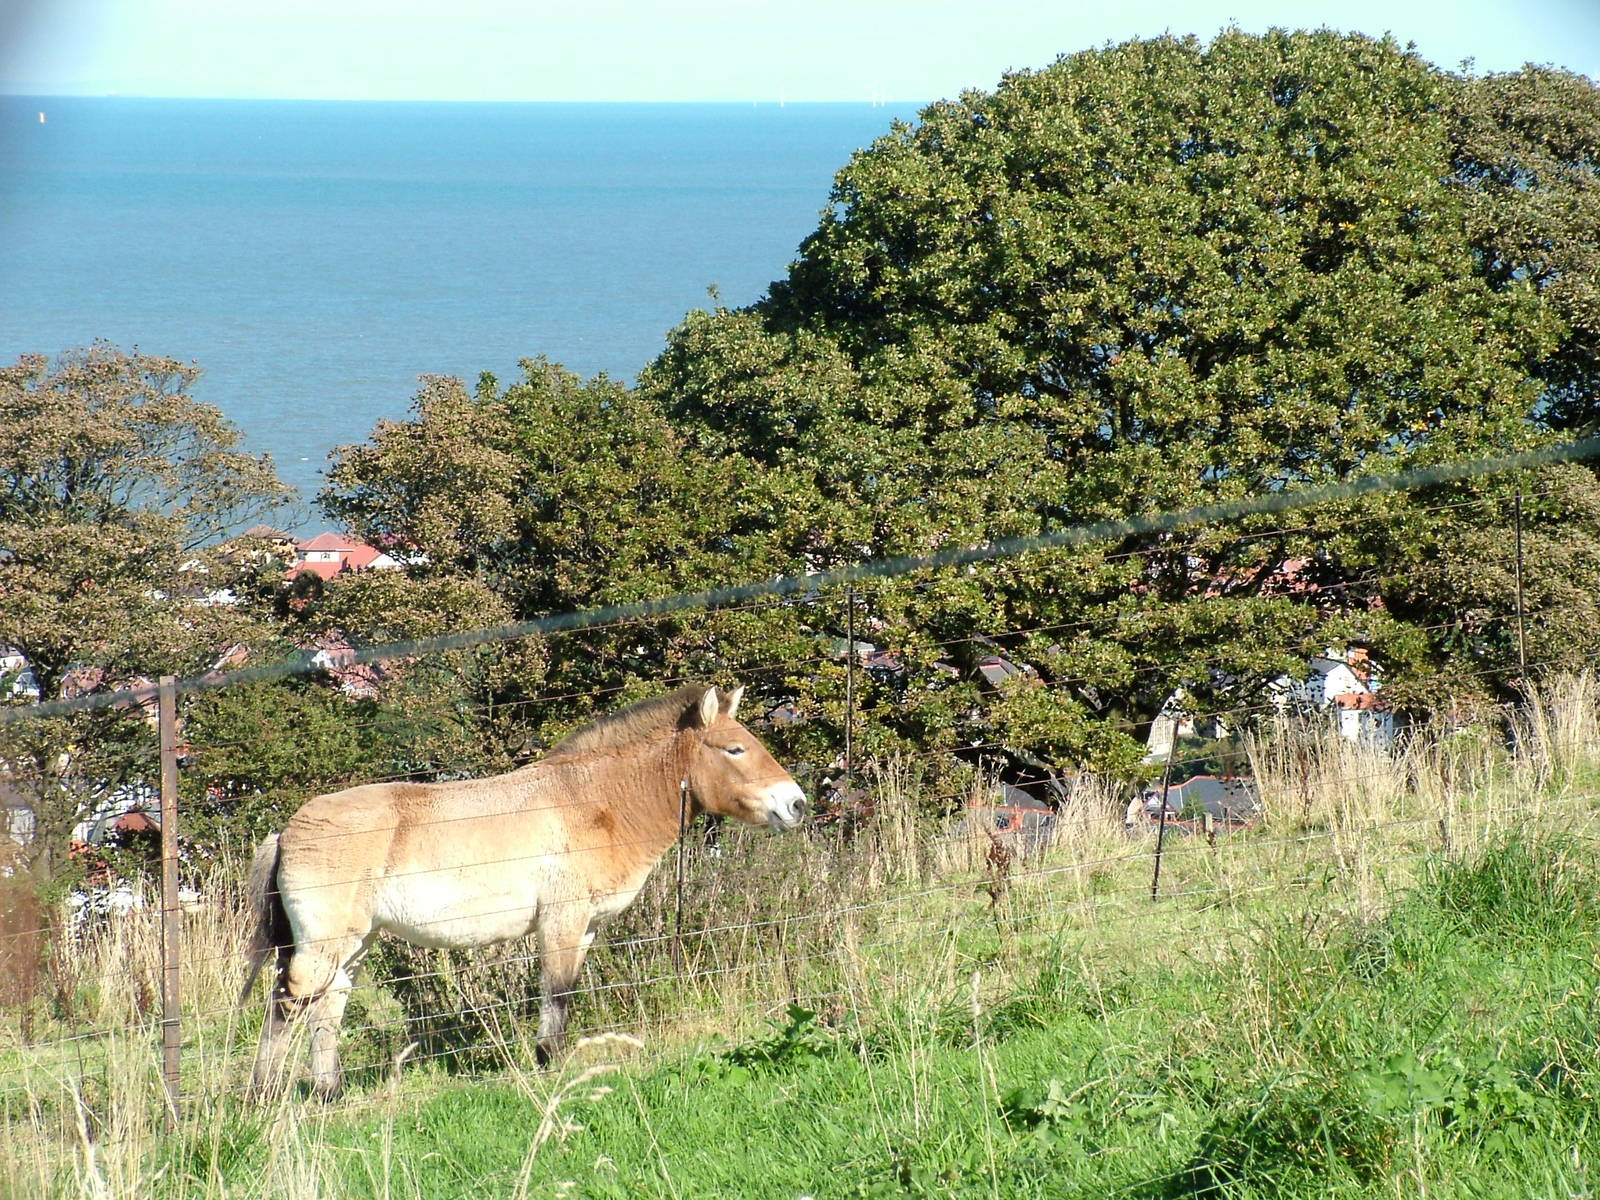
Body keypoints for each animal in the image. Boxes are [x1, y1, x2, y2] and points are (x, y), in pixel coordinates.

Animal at [240, 682, 806, 1098]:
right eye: (735, 748)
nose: (796, 803)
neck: (592, 801)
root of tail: (287, 831)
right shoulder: (561, 920)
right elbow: (555, 991)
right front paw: (549, 1062)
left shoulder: (584, 930)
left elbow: (565, 992)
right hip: (324, 945)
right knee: (288, 1002)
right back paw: (262, 1095)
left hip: (356, 943)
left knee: (327, 1009)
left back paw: (328, 1093)